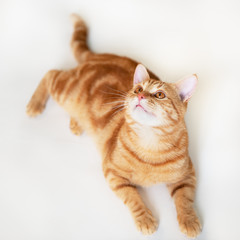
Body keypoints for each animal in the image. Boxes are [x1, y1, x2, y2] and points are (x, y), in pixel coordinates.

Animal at [26, 14, 202, 238]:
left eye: (160, 94)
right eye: (138, 89)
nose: (140, 96)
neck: (150, 145)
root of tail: (98, 56)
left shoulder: (187, 174)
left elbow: (185, 200)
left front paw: (189, 221)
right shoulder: (113, 174)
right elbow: (133, 198)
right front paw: (145, 219)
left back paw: (76, 123)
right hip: (66, 91)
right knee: (50, 73)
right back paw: (35, 104)